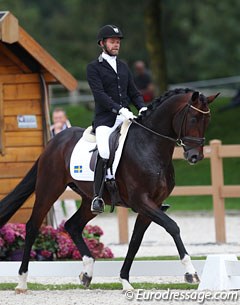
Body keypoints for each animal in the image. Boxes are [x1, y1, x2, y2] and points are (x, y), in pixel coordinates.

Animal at [0, 86, 218, 290]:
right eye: (193, 119)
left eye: (207, 121)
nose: (195, 156)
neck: (150, 146)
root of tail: (54, 141)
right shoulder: (141, 201)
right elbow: (172, 226)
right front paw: (191, 273)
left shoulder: (152, 205)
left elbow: (135, 241)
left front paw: (125, 281)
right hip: (49, 189)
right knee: (32, 226)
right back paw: (22, 281)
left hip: (90, 200)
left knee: (72, 225)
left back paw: (87, 272)